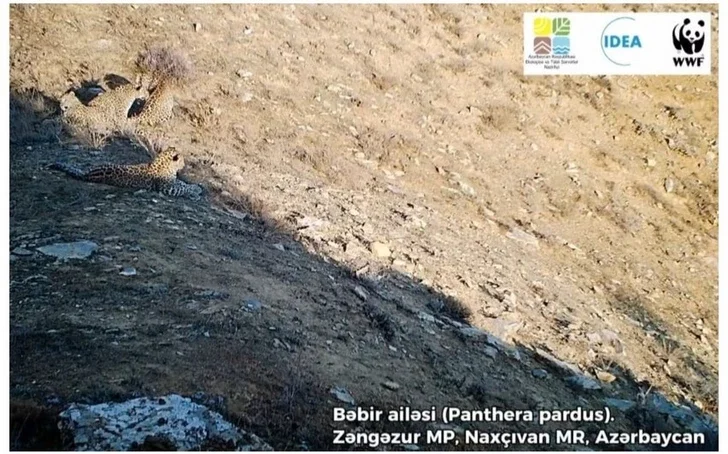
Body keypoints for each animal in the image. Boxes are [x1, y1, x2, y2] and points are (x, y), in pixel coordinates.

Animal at [51, 147, 203, 199]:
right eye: (182, 160)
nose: (184, 165)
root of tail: (86, 174)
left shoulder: (173, 182)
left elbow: (182, 183)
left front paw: (197, 186)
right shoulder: (168, 187)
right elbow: (183, 187)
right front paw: (197, 189)